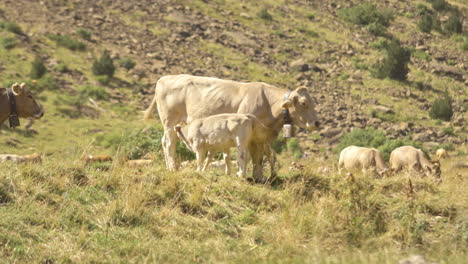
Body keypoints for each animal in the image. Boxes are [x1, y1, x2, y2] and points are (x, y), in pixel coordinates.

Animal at [144, 74, 320, 179]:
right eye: (304, 103)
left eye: (314, 102)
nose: (317, 123)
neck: (269, 104)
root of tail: (165, 78)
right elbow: (247, 156)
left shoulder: (260, 138)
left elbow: (259, 157)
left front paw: (258, 177)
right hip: (170, 121)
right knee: (169, 143)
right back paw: (173, 168)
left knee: (164, 142)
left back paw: (170, 167)